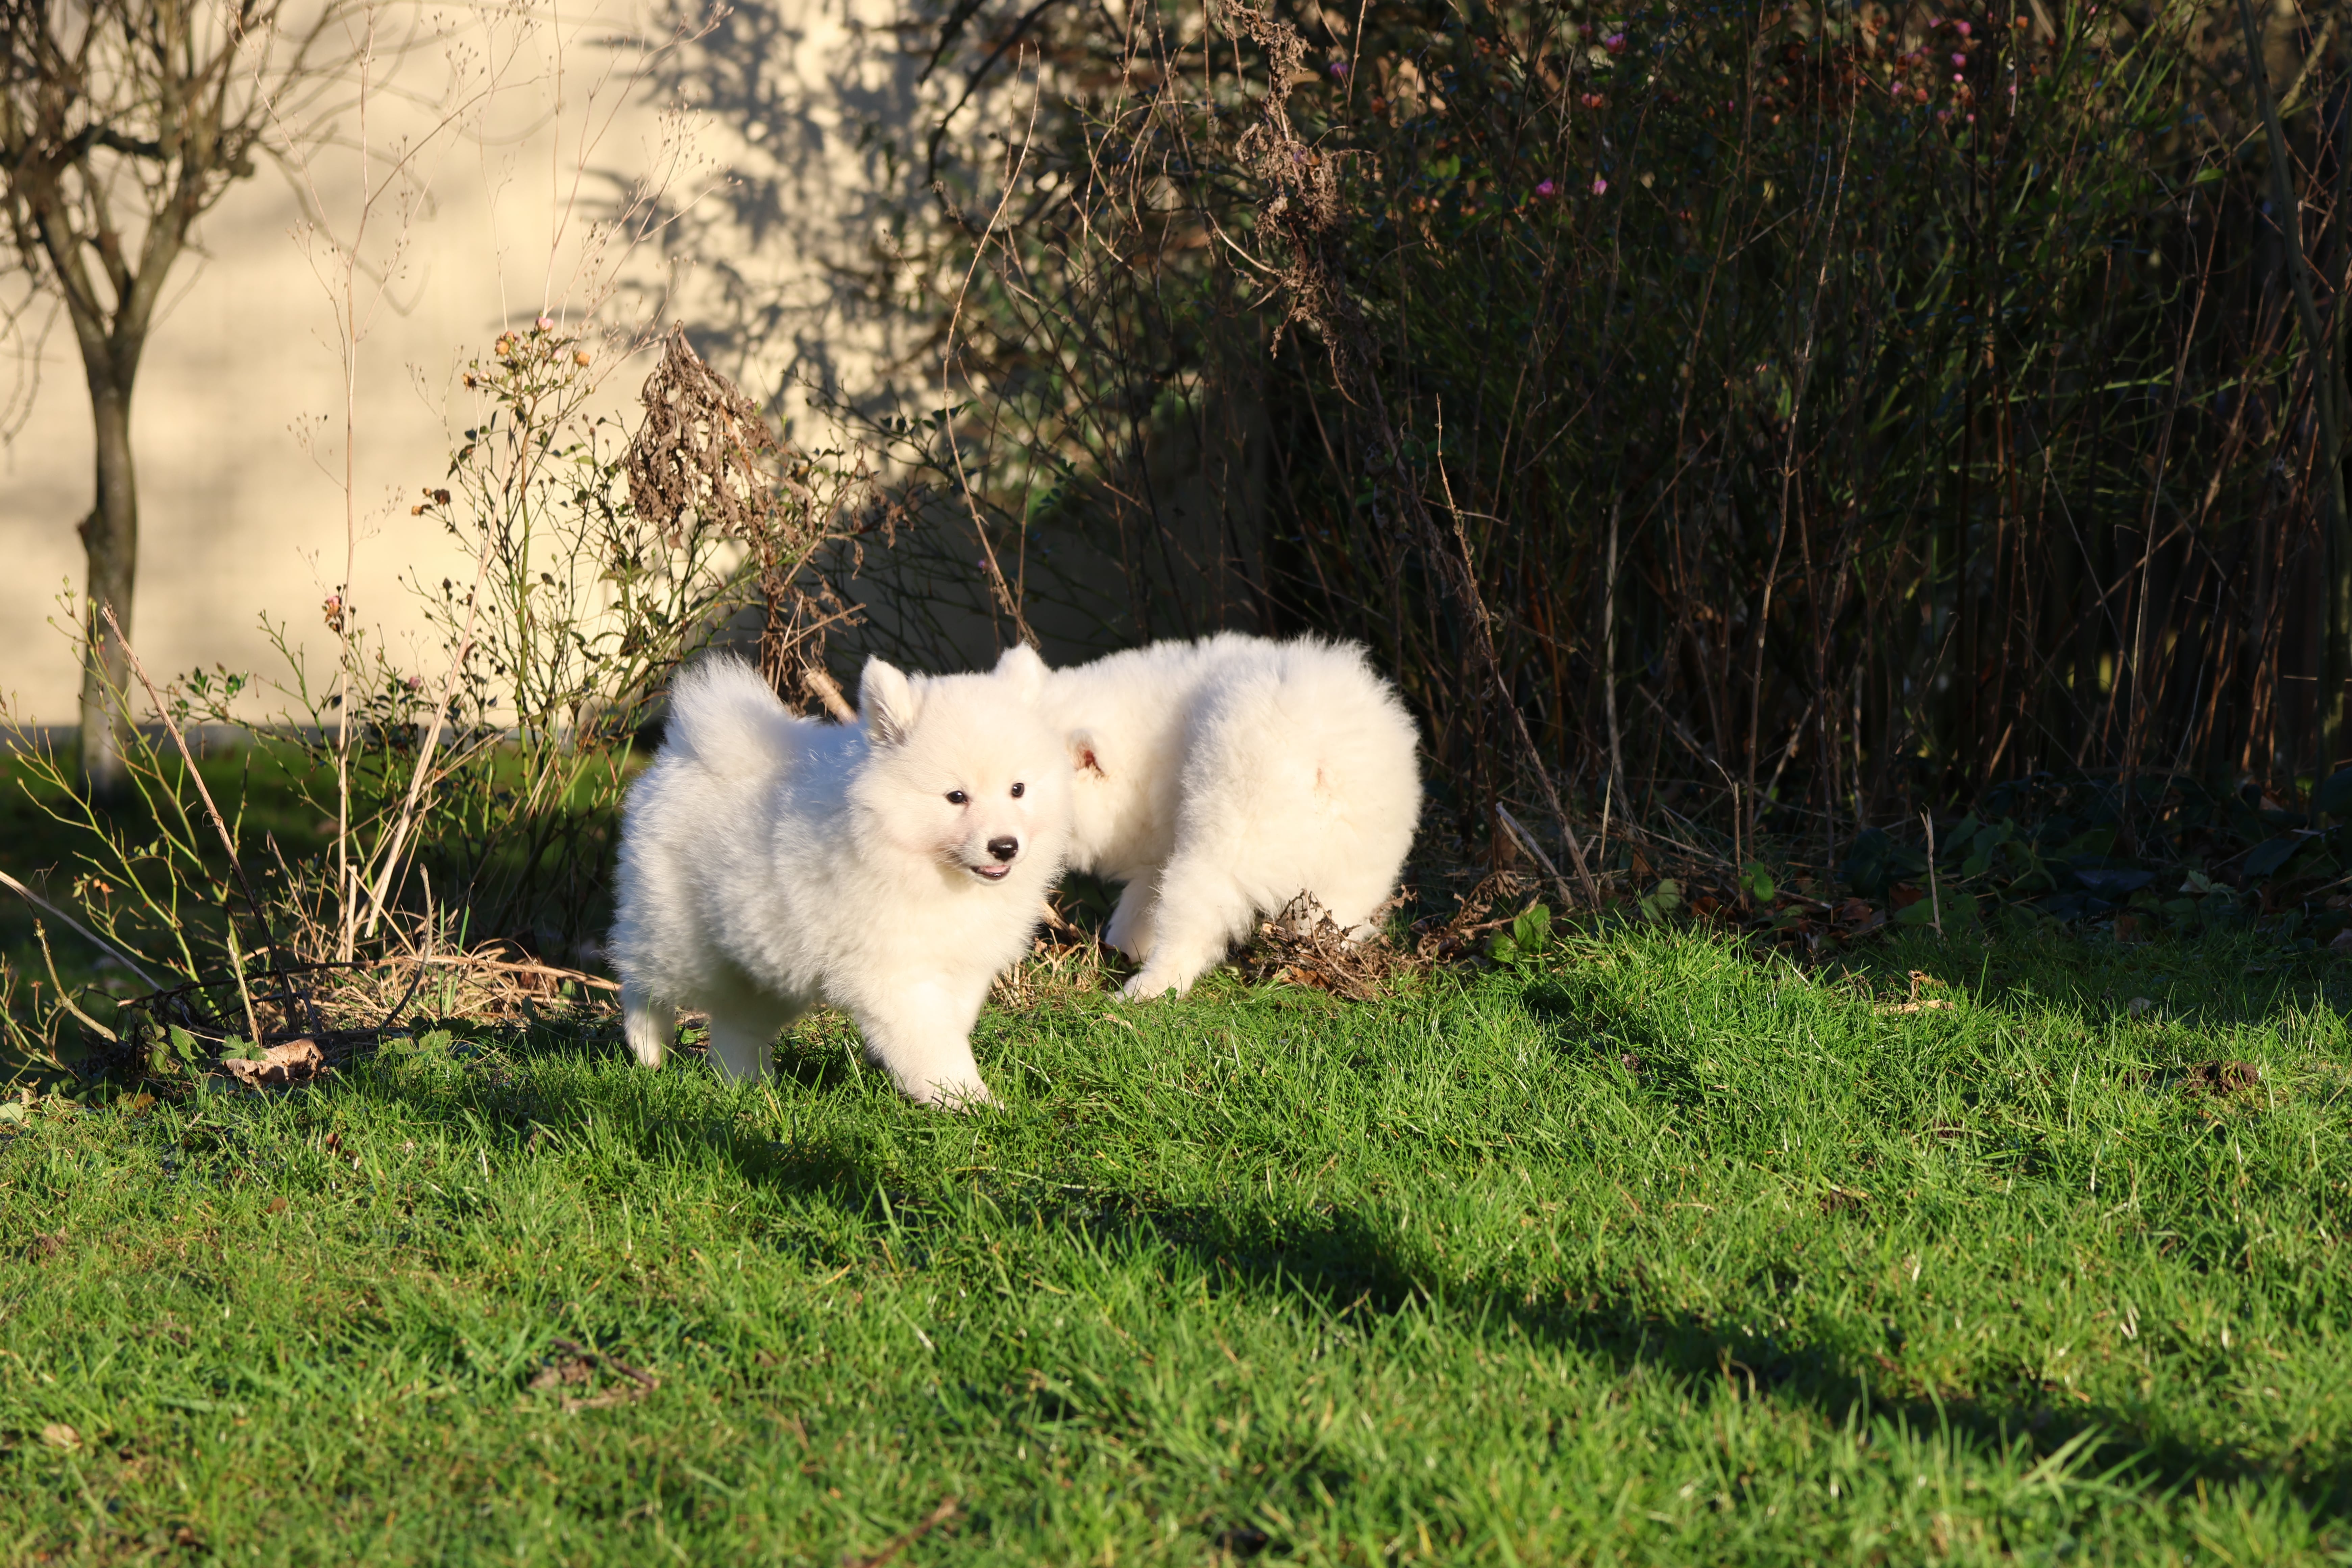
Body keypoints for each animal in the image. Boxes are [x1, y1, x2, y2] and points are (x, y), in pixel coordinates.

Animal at [608, 650, 1068, 1106]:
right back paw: (649, 1045)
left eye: (1018, 789)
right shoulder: (895, 971)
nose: (1005, 846)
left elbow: (951, 1023)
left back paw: (748, 1084)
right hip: (685, 940)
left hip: (767, 962)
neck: (920, 864)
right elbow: (932, 1039)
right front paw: (967, 1099)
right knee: (642, 978)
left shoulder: (965, 964)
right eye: (957, 797)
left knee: (736, 1025)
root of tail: (691, 753)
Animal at [1002, 632, 1420, 998]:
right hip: (1357, 868)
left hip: (1229, 838)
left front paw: (1122, 951)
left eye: (1020, 793)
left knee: (1193, 921)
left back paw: (1142, 992)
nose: (1000, 848)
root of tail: (1321, 758)